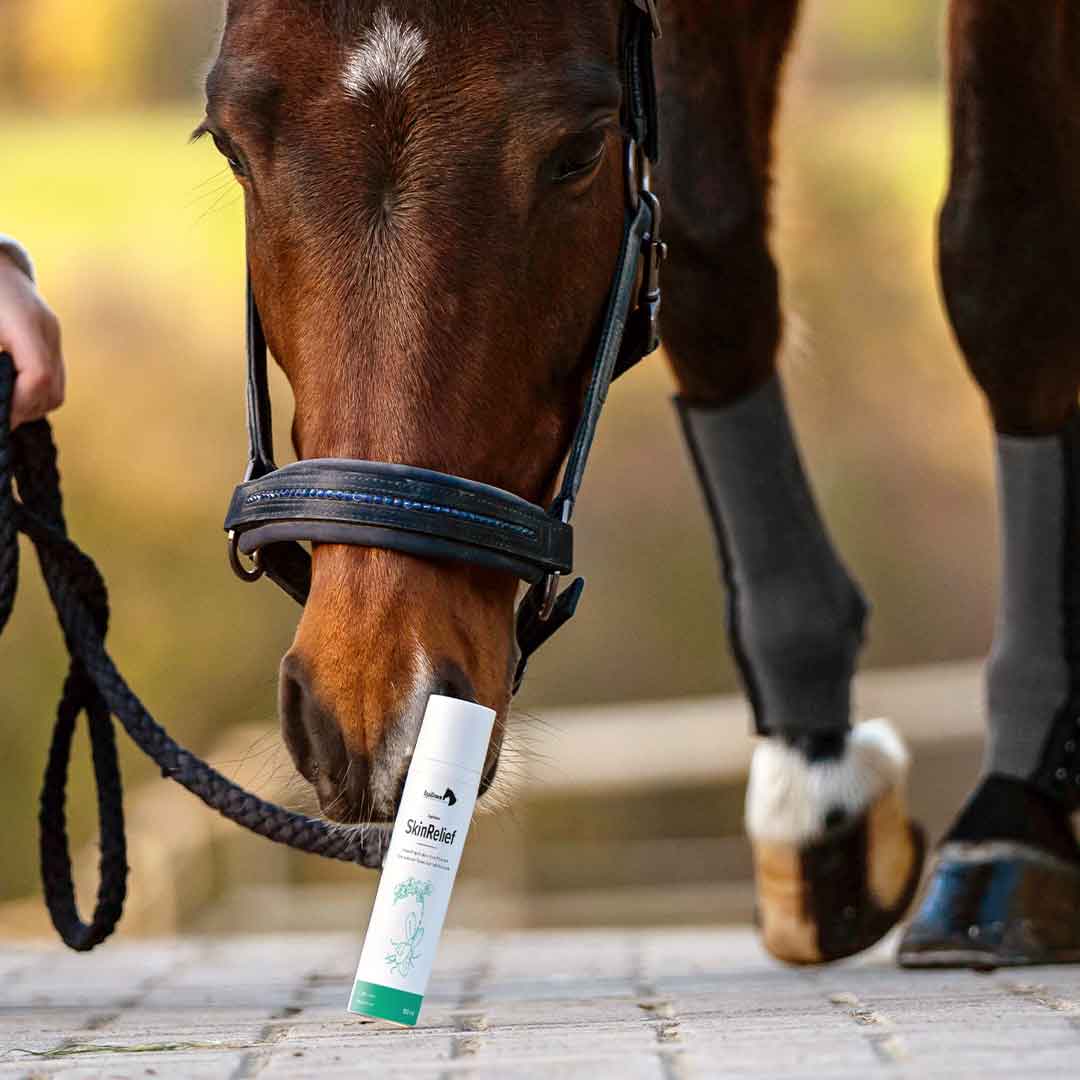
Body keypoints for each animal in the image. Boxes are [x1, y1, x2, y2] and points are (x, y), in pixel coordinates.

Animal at [201, 0, 1080, 969]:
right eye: (229, 147)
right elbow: (709, 262)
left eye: (581, 149)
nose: (373, 713)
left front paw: (1014, 818)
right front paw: (814, 778)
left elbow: (1005, 264)